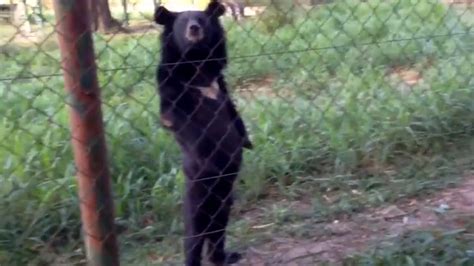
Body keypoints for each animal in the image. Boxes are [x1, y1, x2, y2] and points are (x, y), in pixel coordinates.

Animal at [154, 1, 254, 264]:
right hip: (198, 192)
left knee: (218, 227)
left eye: (202, 19)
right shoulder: (171, 88)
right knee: (194, 234)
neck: (197, 62)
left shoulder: (221, 84)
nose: (194, 28)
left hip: (226, 197)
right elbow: (176, 119)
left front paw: (247, 142)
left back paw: (225, 257)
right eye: (182, 22)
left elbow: (233, 112)